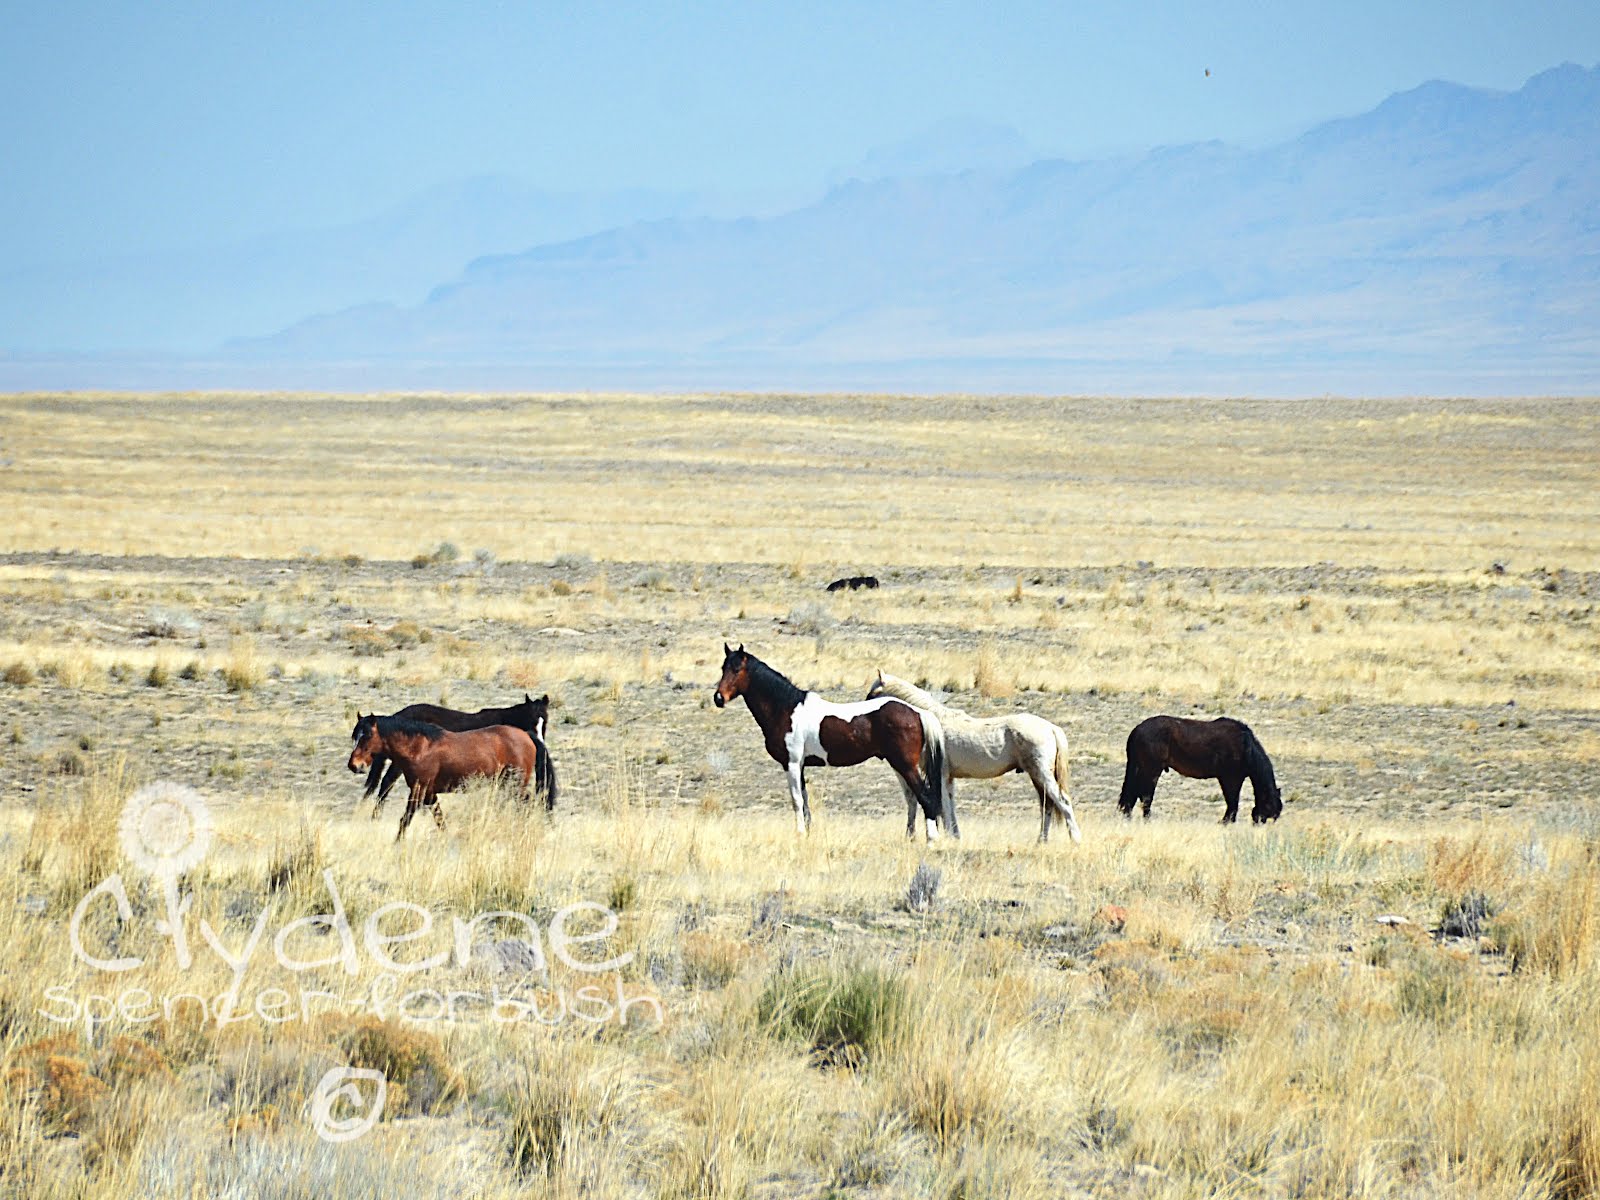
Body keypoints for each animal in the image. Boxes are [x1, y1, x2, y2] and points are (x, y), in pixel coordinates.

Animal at [347, 715, 542, 840]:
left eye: (368, 736)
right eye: (355, 736)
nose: (354, 765)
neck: (418, 748)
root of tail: (526, 735)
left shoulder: (418, 791)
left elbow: (405, 820)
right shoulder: (429, 795)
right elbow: (440, 819)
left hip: (516, 786)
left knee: (526, 806)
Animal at [713, 644, 949, 839]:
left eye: (737, 670)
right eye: (723, 668)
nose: (718, 698)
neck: (786, 709)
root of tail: (918, 713)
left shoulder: (791, 764)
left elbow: (796, 800)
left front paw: (800, 834)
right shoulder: (800, 766)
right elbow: (805, 800)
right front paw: (807, 832)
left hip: (905, 765)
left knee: (925, 797)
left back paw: (931, 840)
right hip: (899, 765)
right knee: (912, 798)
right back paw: (910, 837)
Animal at [866, 671, 1081, 844]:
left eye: (874, 692)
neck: (933, 722)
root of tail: (1051, 728)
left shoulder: (941, 775)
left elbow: (944, 806)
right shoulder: (948, 778)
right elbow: (949, 806)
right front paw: (955, 836)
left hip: (1041, 773)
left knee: (1062, 801)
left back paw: (1075, 839)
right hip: (1036, 776)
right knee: (1047, 805)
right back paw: (1041, 841)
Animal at [1117, 715, 1282, 824]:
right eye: (1270, 812)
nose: (1259, 824)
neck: (1246, 746)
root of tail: (1137, 730)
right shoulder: (1231, 778)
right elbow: (1232, 801)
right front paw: (1227, 821)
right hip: (1151, 771)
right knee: (1145, 796)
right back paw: (1147, 819)